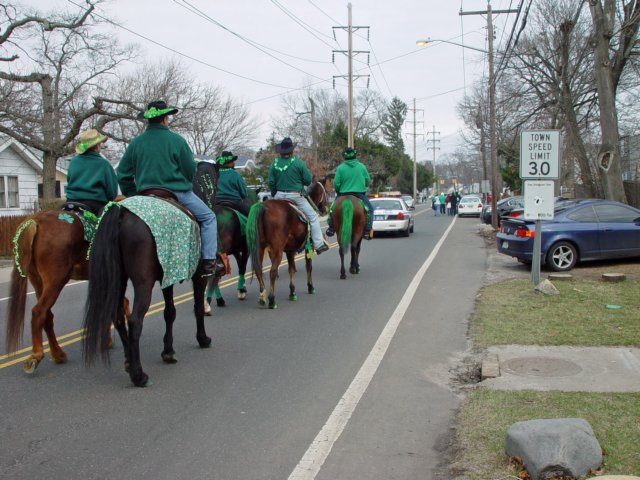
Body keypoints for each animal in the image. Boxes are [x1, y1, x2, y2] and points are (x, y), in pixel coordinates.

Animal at [5, 208, 124, 374]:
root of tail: (35, 221)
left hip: (37, 280)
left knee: (47, 316)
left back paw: (57, 354)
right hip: (56, 281)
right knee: (38, 312)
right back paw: (36, 355)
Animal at [82, 197, 210, 388]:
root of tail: (121, 211)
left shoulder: (167, 278)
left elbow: (169, 312)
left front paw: (168, 351)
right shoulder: (199, 275)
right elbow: (198, 307)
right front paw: (202, 338)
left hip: (119, 279)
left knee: (118, 318)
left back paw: (129, 363)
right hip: (143, 283)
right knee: (135, 321)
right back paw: (139, 375)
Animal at [244, 178, 328, 310]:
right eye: (325, 191)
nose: (325, 209)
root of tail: (263, 206)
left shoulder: (289, 250)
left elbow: (291, 269)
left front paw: (292, 292)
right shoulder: (308, 248)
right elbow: (308, 266)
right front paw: (310, 287)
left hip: (260, 248)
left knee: (259, 271)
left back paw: (262, 297)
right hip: (277, 250)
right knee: (272, 272)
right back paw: (272, 300)